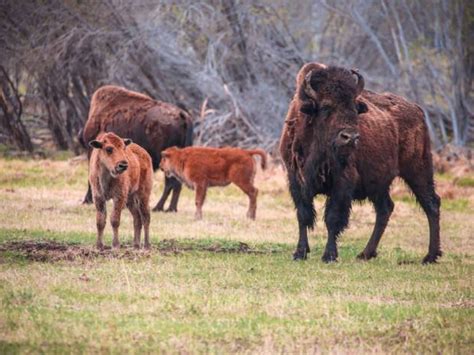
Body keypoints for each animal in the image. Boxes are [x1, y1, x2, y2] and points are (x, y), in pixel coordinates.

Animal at [280, 63, 442, 264]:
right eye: (325, 107)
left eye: (354, 107)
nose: (350, 137)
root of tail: (418, 110)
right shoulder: (296, 180)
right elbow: (303, 216)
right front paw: (299, 253)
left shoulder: (342, 183)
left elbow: (333, 219)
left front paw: (329, 255)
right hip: (379, 183)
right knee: (385, 209)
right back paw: (366, 253)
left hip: (418, 170)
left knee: (431, 204)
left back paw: (430, 256)